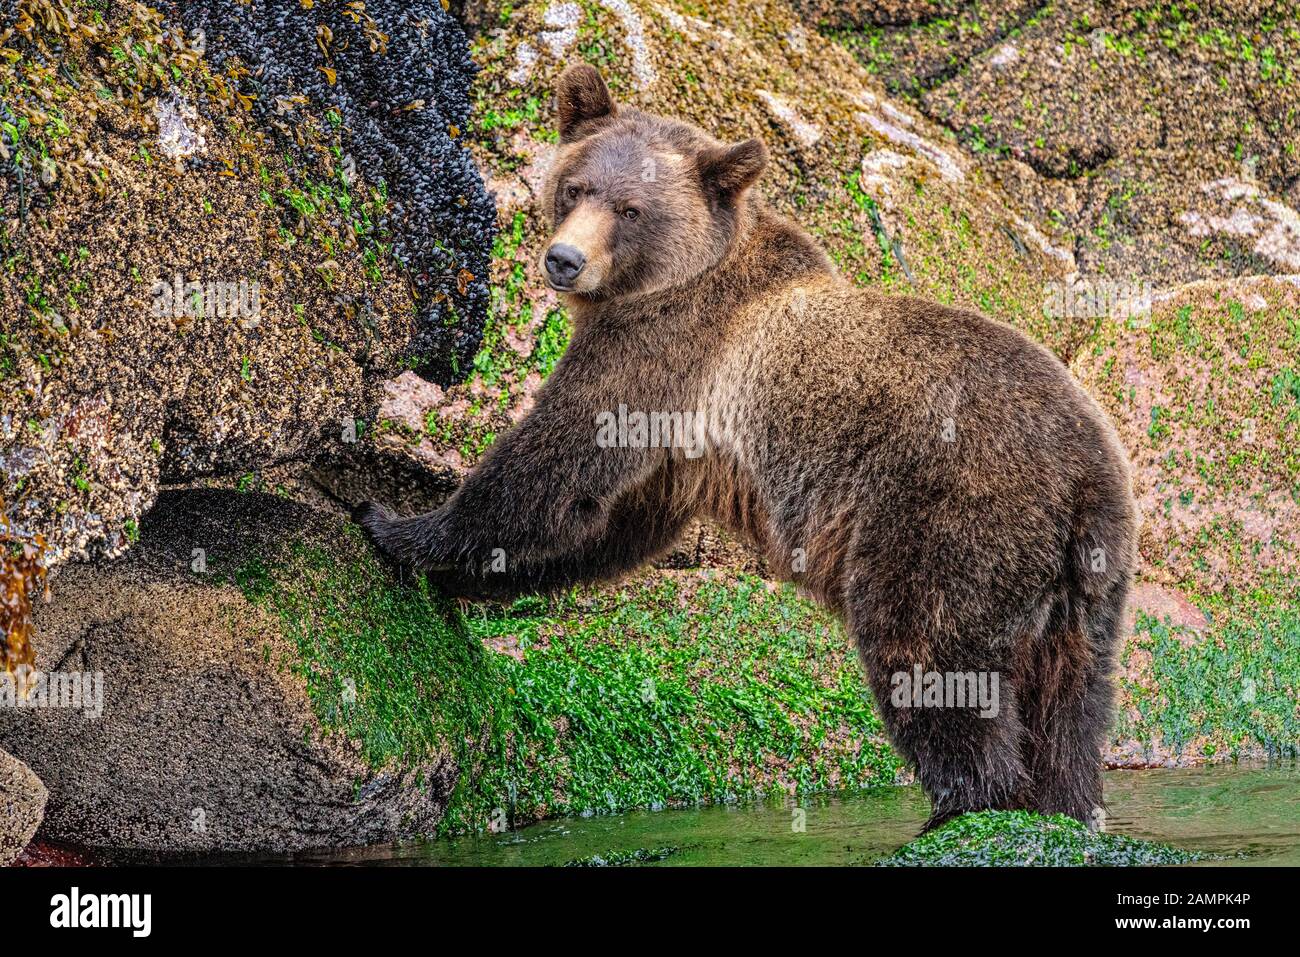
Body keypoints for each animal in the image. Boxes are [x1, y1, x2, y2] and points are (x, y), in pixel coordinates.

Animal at [358, 65, 1138, 832]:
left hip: (951, 512)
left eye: (632, 209)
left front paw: (392, 523)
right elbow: (604, 524)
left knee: (928, 652)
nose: (564, 260)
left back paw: (966, 804)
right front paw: (459, 575)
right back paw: (1066, 800)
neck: (662, 282)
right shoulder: (676, 448)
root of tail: (1084, 474)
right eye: (575, 186)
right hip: (1089, 578)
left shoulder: (661, 352)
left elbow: (554, 471)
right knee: (1070, 702)